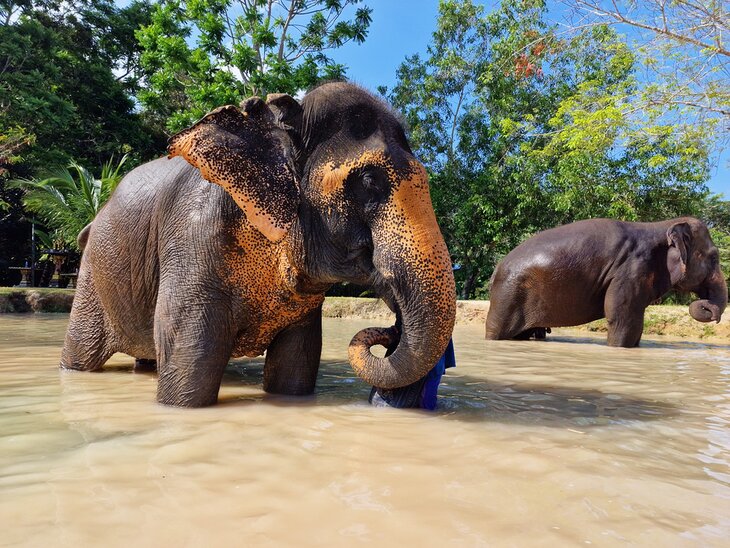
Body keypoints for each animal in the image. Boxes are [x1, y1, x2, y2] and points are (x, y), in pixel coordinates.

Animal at [61, 82, 456, 406]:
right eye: (370, 181)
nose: (391, 328)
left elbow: (295, 366)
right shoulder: (192, 240)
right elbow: (188, 363)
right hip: (92, 279)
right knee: (80, 353)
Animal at [484, 215, 724, 346]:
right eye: (714, 258)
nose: (710, 312)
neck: (662, 225)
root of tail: (496, 268)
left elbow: (635, 322)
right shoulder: (630, 270)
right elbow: (622, 318)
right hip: (508, 294)